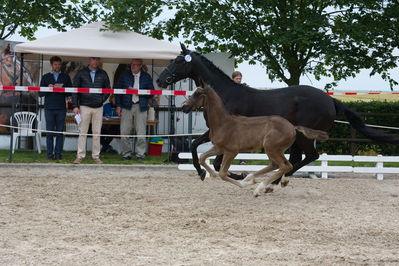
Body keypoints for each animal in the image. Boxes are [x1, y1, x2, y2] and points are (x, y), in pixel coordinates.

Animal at [158, 43, 399, 182]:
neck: (225, 94)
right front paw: (202, 172)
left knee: (308, 156)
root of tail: (331, 100)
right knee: (298, 158)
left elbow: (216, 161)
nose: (160, 80)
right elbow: (193, 146)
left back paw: (274, 180)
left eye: (178, 60)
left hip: (303, 136)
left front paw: (238, 175)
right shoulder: (214, 132)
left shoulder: (227, 135)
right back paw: (276, 179)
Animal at [184, 86, 328, 196]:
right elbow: (202, 158)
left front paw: (242, 183)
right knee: (276, 165)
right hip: (271, 149)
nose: (184, 106)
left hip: (272, 148)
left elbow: (223, 174)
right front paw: (207, 174)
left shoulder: (231, 151)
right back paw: (252, 178)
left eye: (198, 94)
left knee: (285, 166)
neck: (223, 123)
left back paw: (260, 188)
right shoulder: (219, 148)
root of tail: (293, 126)